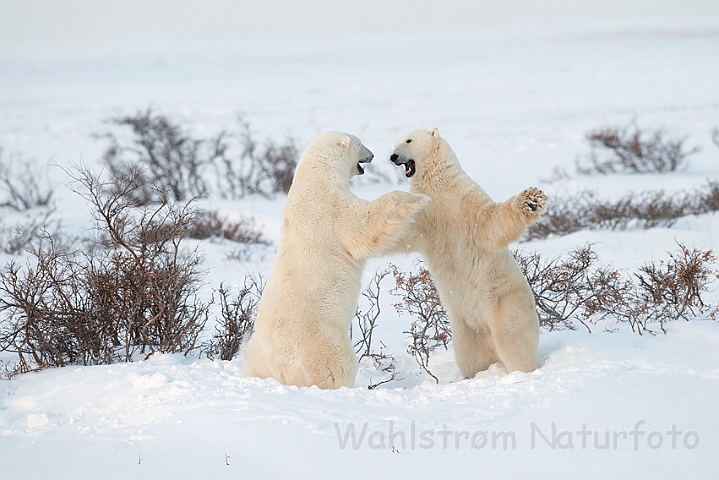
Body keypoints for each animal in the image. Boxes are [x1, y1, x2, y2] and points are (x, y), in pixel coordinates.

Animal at [245, 131, 430, 390]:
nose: (373, 155)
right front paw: (417, 198)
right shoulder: (331, 208)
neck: (316, 177)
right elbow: (364, 223)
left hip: (257, 354)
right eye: (360, 143)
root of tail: (277, 364)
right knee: (336, 365)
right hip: (319, 341)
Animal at [390, 129, 548, 376]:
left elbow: (491, 224)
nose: (393, 156)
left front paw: (530, 200)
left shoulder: (465, 202)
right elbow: (404, 231)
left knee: (514, 341)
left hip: (505, 303)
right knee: (470, 357)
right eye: (395, 143)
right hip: (466, 328)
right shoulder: (426, 220)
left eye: (408, 140)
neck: (440, 185)